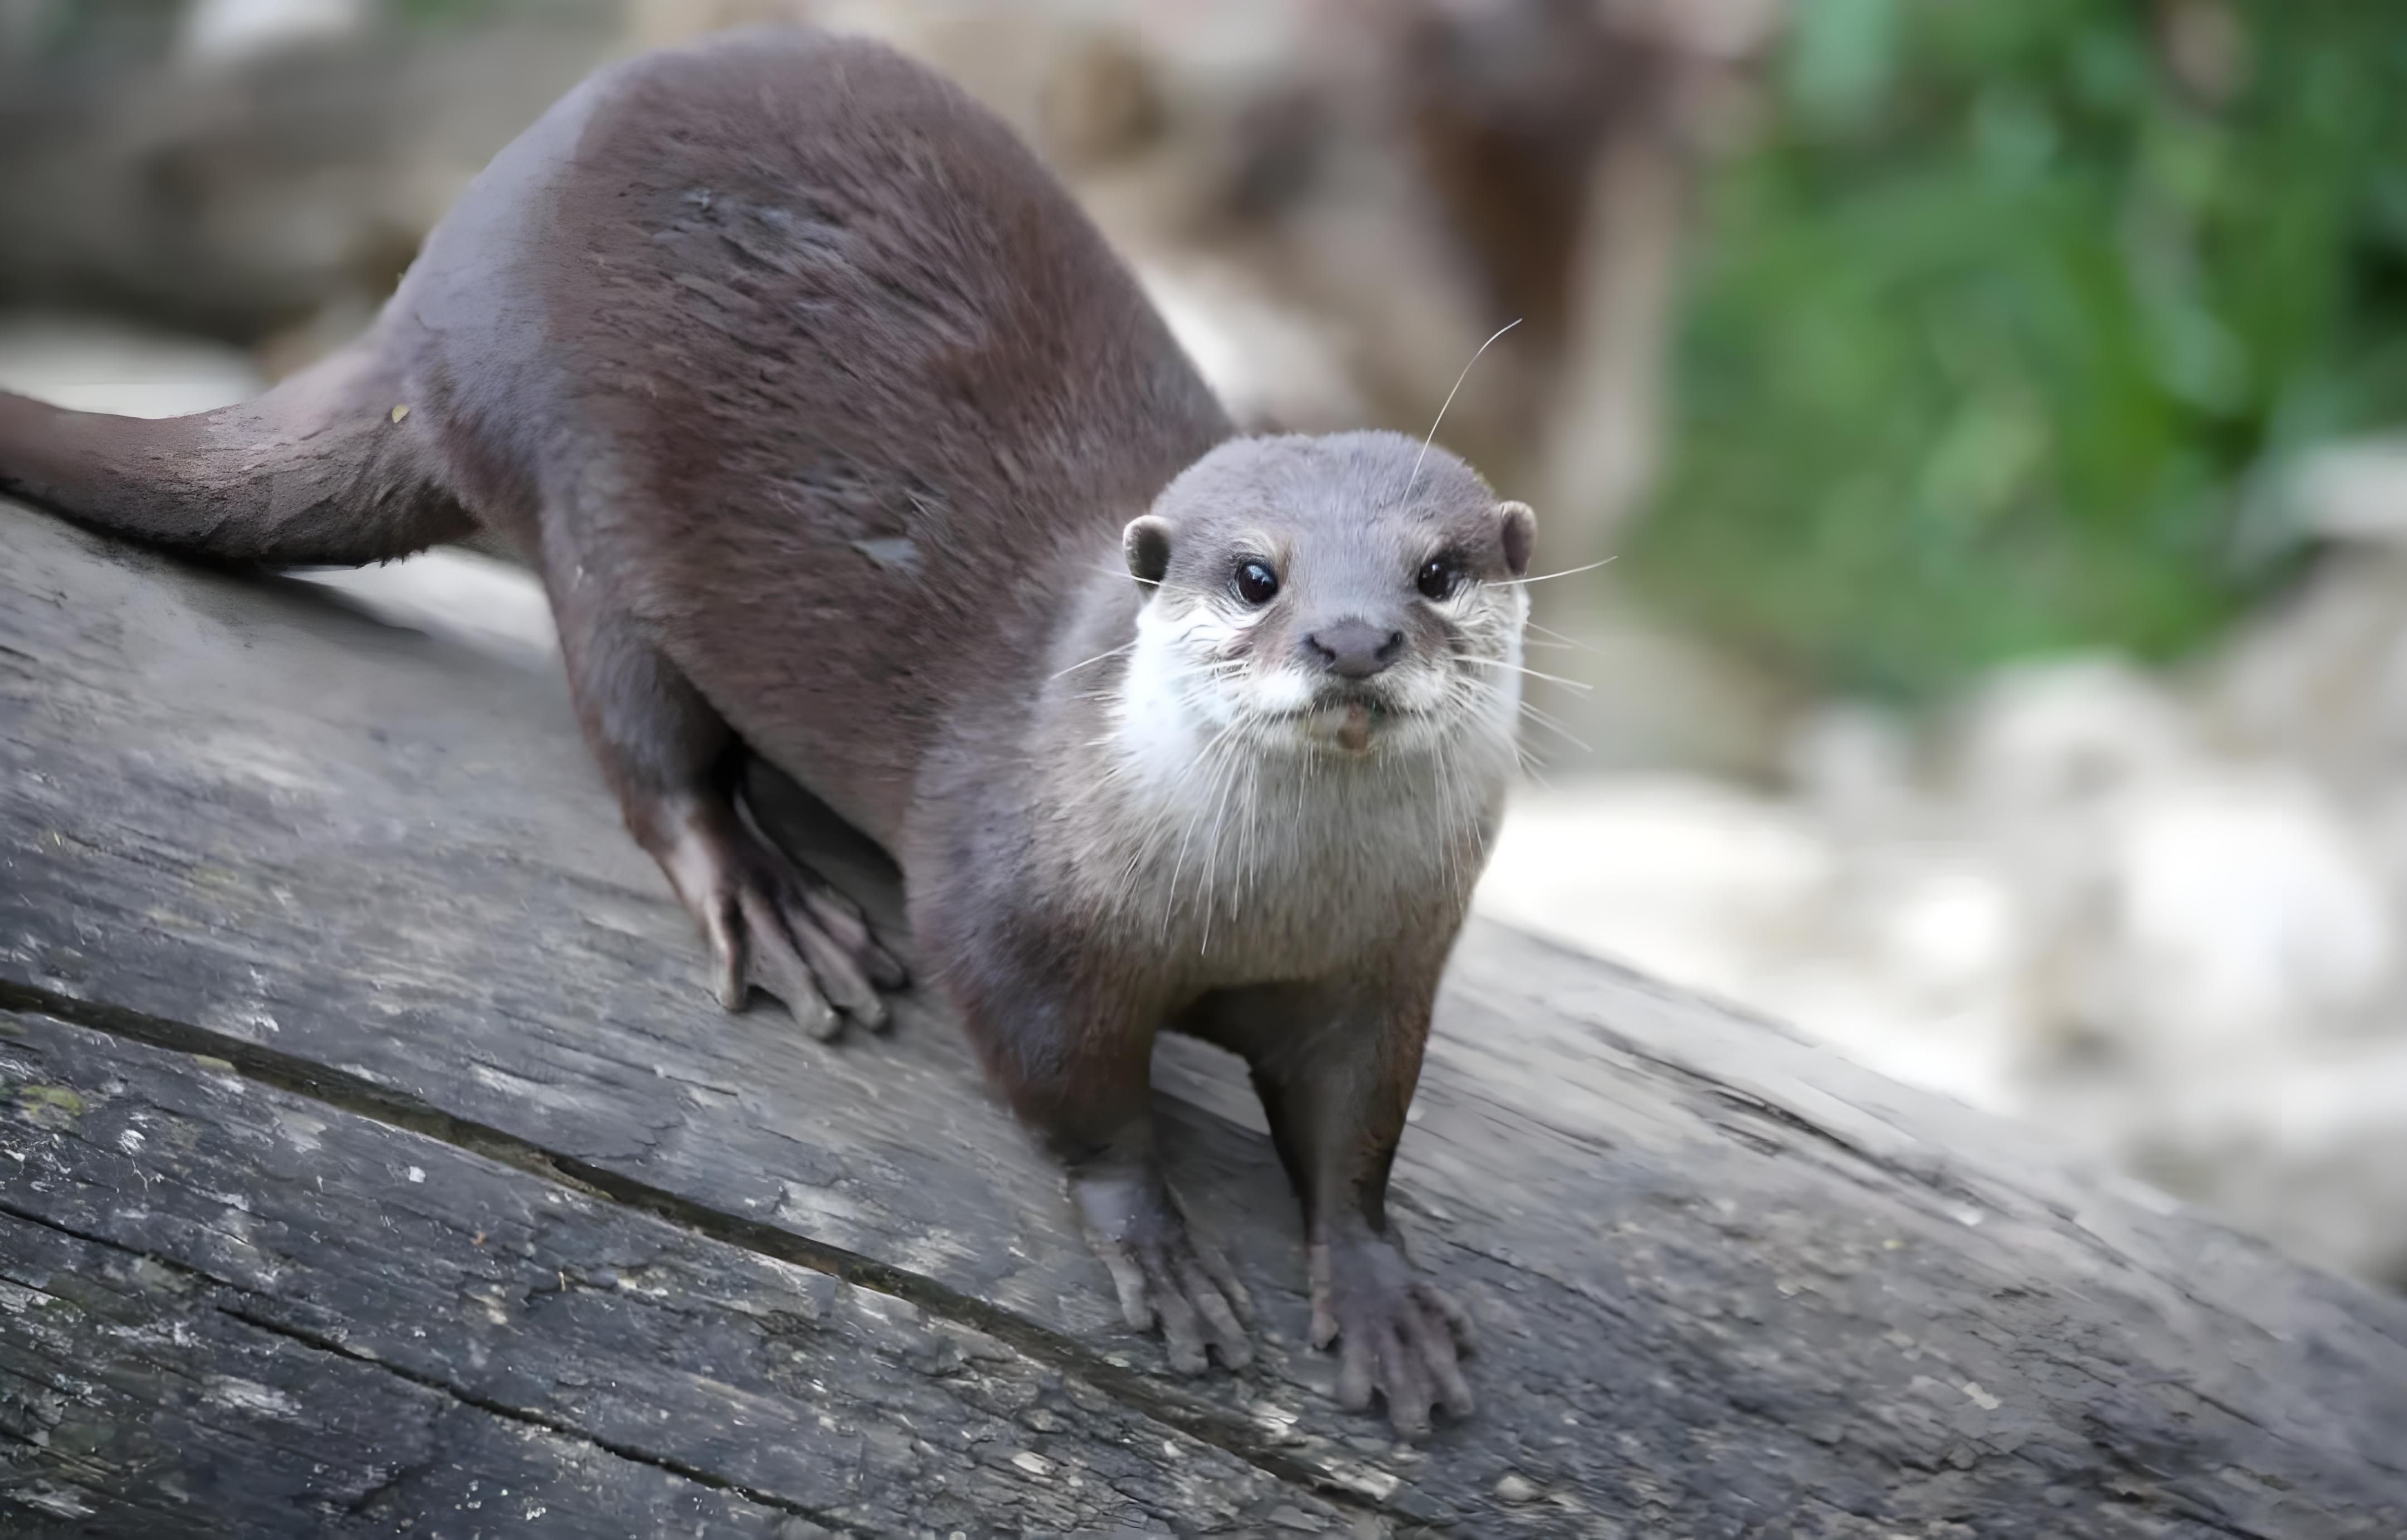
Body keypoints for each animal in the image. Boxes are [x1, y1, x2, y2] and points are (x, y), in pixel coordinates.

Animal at [0, 30, 1540, 1434]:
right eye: (1259, 575)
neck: (1256, 907)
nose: (1353, 638)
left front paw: (1382, 1291)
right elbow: (1071, 1088)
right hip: (585, 514)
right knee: (646, 751)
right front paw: (1157, 1246)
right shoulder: (1007, 907)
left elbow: (1358, 1127)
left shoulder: (1386, 963)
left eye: (1438, 571)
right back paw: (774, 904)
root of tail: (427, 298)